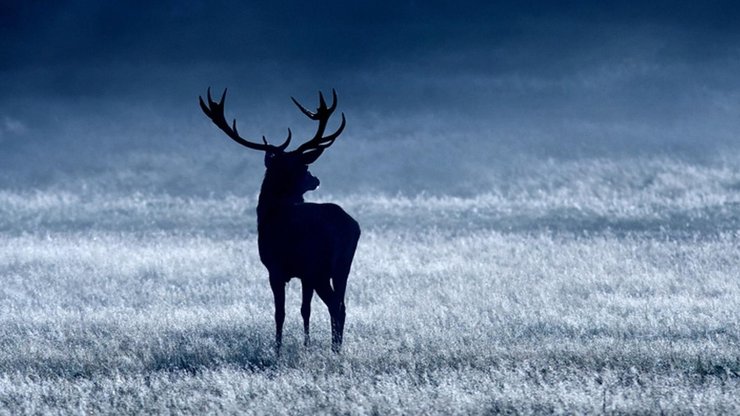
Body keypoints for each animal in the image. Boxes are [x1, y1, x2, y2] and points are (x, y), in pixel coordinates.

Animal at [197, 88, 358, 354]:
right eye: (303, 166)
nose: (315, 179)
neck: (269, 213)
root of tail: (349, 227)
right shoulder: (303, 275)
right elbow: (305, 310)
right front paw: (306, 344)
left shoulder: (275, 268)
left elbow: (279, 313)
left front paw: (278, 349)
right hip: (342, 266)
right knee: (342, 304)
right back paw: (337, 348)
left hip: (318, 266)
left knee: (335, 304)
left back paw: (335, 349)